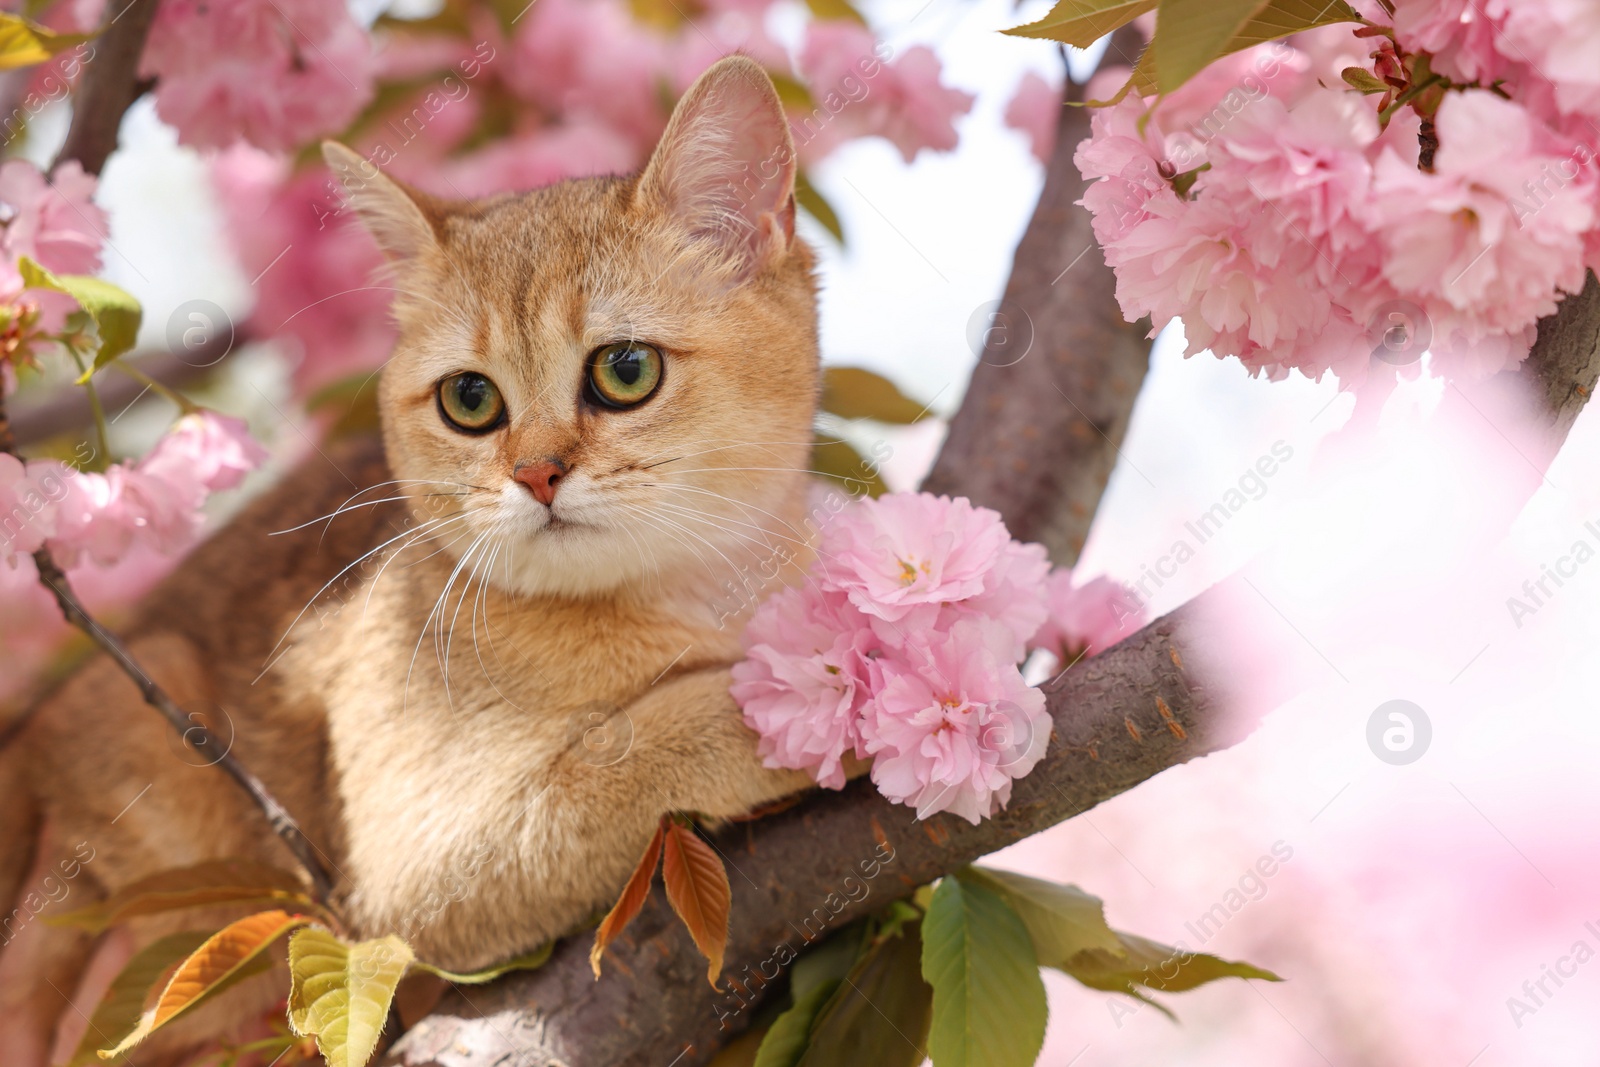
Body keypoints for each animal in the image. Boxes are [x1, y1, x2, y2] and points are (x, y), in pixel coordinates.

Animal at [0, 58, 819, 1067]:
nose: (537, 473)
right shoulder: (411, 867)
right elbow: (640, 743)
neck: (688, 598)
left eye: (626, 370)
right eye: (470, 399)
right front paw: (815, 700)